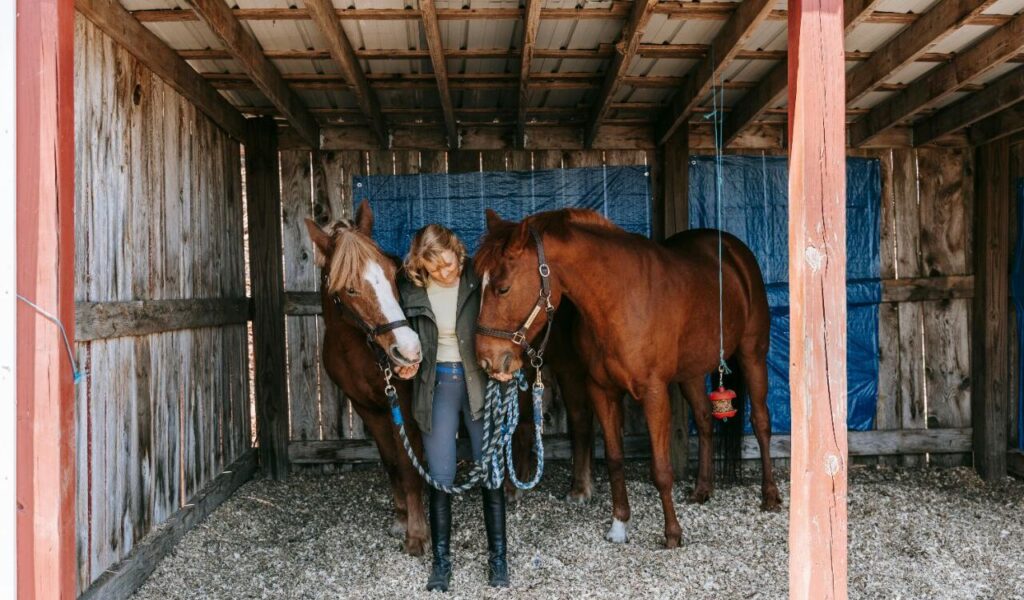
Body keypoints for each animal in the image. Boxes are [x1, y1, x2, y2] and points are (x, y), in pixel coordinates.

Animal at [474, 208, 781, 549]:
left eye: (503, 288)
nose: (486, 359)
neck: (618, 300)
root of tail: (732, 248)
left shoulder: (654, 393)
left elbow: (661, 469)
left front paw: (672, 534)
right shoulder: (601, 390)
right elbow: (614, 459)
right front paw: (619, 524)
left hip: (753, 354)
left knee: (761, 422)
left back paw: (770, 496)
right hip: (691, 370)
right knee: (703, 419)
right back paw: (702, 489)